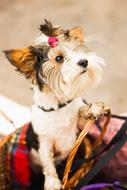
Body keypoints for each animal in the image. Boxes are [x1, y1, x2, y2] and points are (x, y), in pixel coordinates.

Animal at [3, 20, 105, 189]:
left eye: (76, 51)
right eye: (59, 58)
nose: (84, 61)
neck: (59, 106)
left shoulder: (78, 125)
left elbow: (81, 110)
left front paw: (91, 108)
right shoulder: (44, 141)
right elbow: (47, 162)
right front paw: (52, 182)